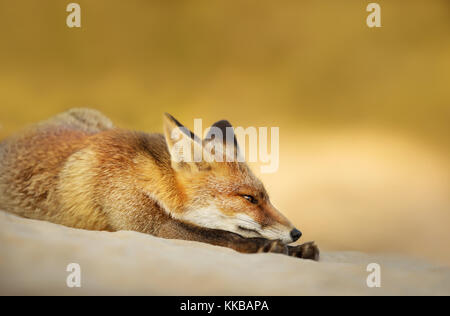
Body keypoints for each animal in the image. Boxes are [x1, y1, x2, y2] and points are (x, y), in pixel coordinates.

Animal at [0, 108, 320, 260]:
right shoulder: (147, 226)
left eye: (266, 197)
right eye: (249, 198)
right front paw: (270, 247)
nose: (296, 232)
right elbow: (224, 235)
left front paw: (296, 248)